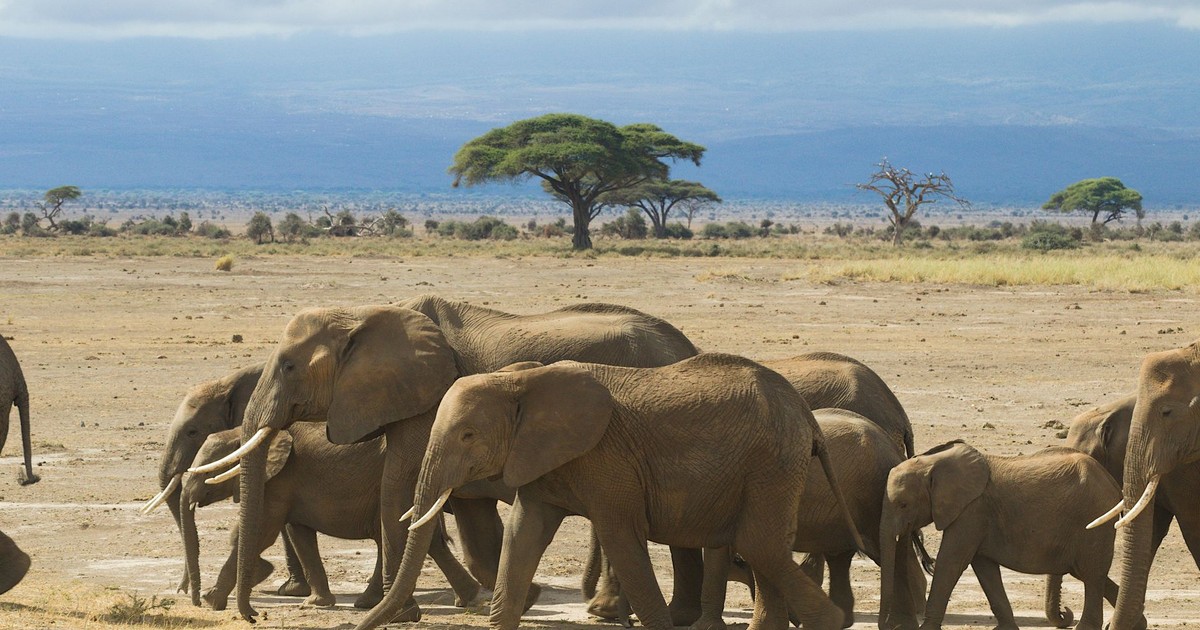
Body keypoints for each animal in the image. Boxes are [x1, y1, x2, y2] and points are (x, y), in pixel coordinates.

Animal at [180, 423, 479, 611]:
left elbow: (263, 531)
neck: (245, 433)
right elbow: (298, 533)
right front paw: (316, 603)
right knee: (422, 539)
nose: (191, 598)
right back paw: (466, 599)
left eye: (209, 470)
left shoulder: (279, 479)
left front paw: (211, 601)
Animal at [373, 355, 863, 630]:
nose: (364, 625)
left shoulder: (609, 460)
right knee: (766, 546)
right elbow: (523, 535)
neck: (522, 380)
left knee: (757, 543)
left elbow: (621, 538)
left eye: (468, 436)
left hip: (771, 461)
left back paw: (832, 623)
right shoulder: (543, 457)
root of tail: (806, 414)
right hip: (773, 465)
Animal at [878, 440, 1121, 630]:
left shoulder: (972, 510)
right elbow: (984, 567)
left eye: (903, 504)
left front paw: (926, 628)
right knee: (1090, 573)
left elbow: (951, 562)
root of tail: (1112, 482)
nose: (891, 626)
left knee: (1092, 574)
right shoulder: (976, 517)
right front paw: (1005, 628)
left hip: (1094, 519)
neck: (933, 461)